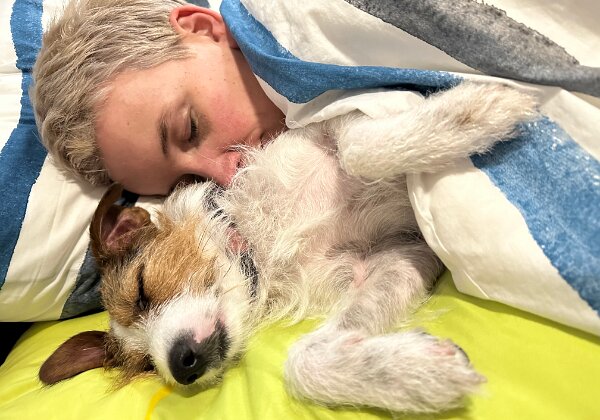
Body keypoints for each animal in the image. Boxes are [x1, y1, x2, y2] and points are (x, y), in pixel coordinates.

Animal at [40, 82, 537, 413]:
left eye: (142, 289)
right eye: (145, 366)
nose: (180, 365)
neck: (256, 244)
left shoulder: (330, 120)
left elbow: (360, 149)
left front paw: (481, 108)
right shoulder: (401, 258)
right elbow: (303, 362)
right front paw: (419, 375)